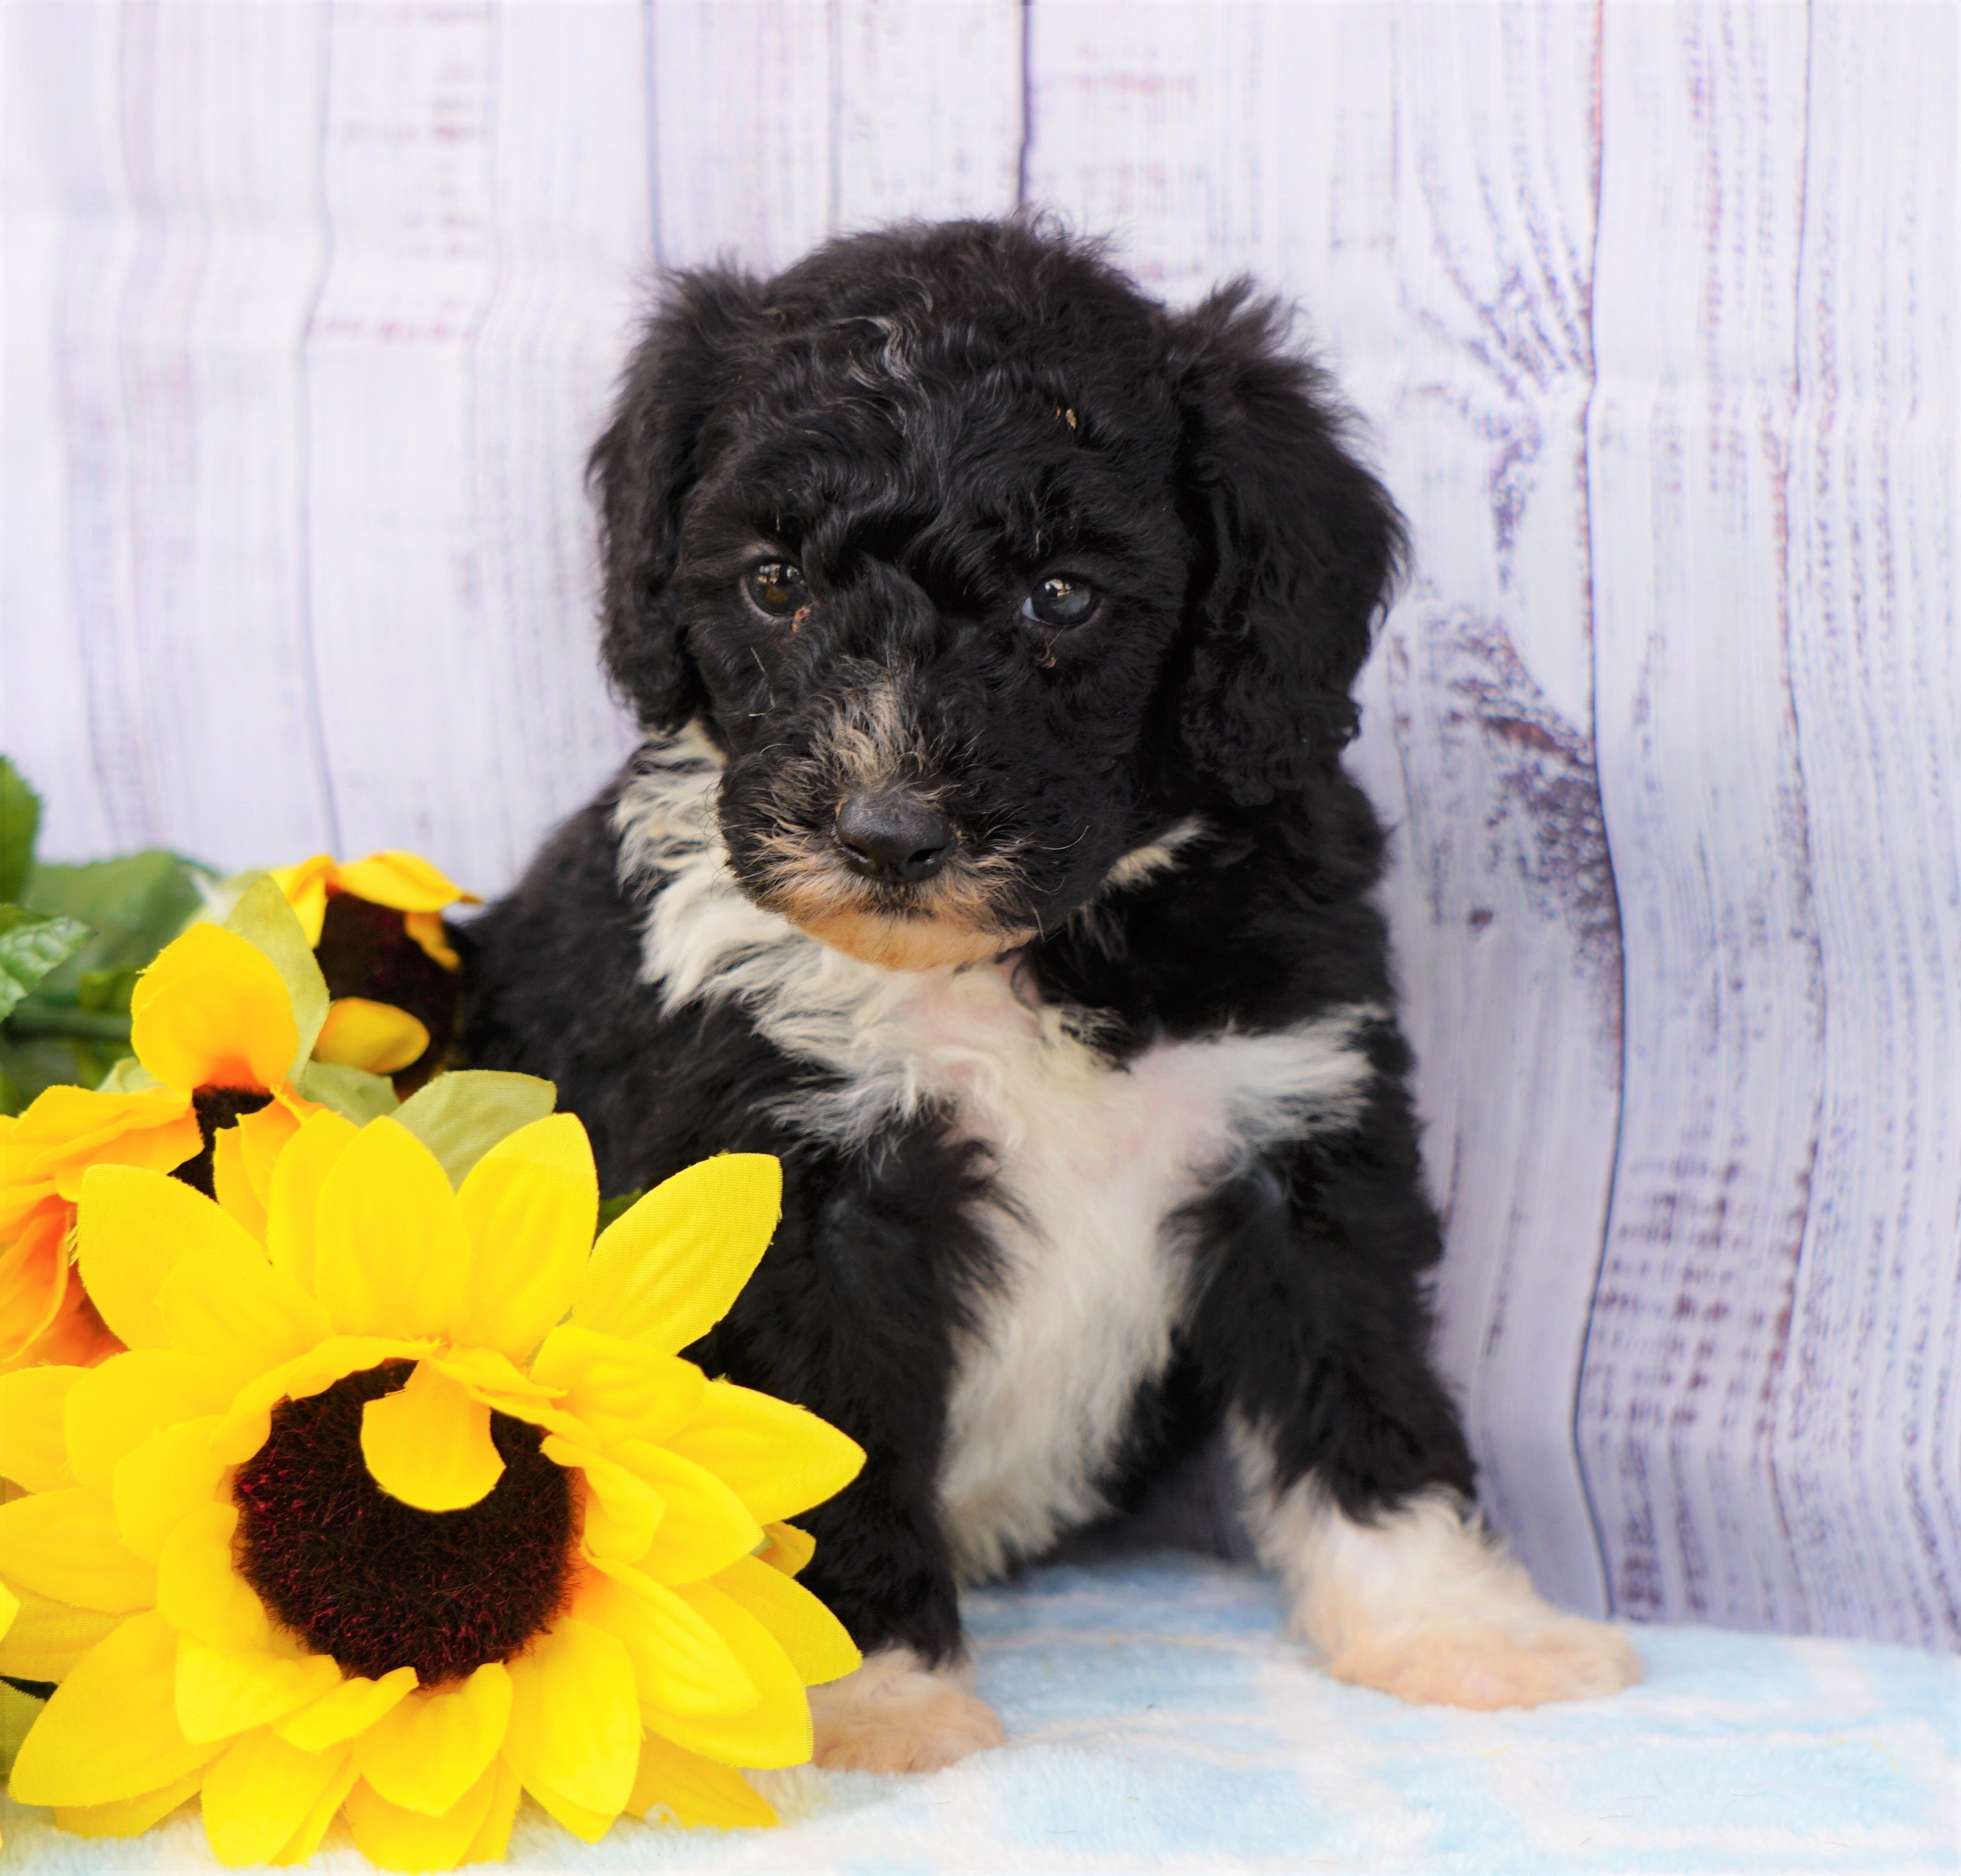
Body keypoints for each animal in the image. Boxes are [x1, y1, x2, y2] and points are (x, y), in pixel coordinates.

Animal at [462, 219, 1639, 1773]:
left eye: (1059, 596)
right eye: (773, 582)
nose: (886, 833)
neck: (1028, 957)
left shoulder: (1294, 1135)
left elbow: (1360, 1386)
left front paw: (1457, 1627)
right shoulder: (799, 1203)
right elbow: (828, 1457)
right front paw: (872, 1703)